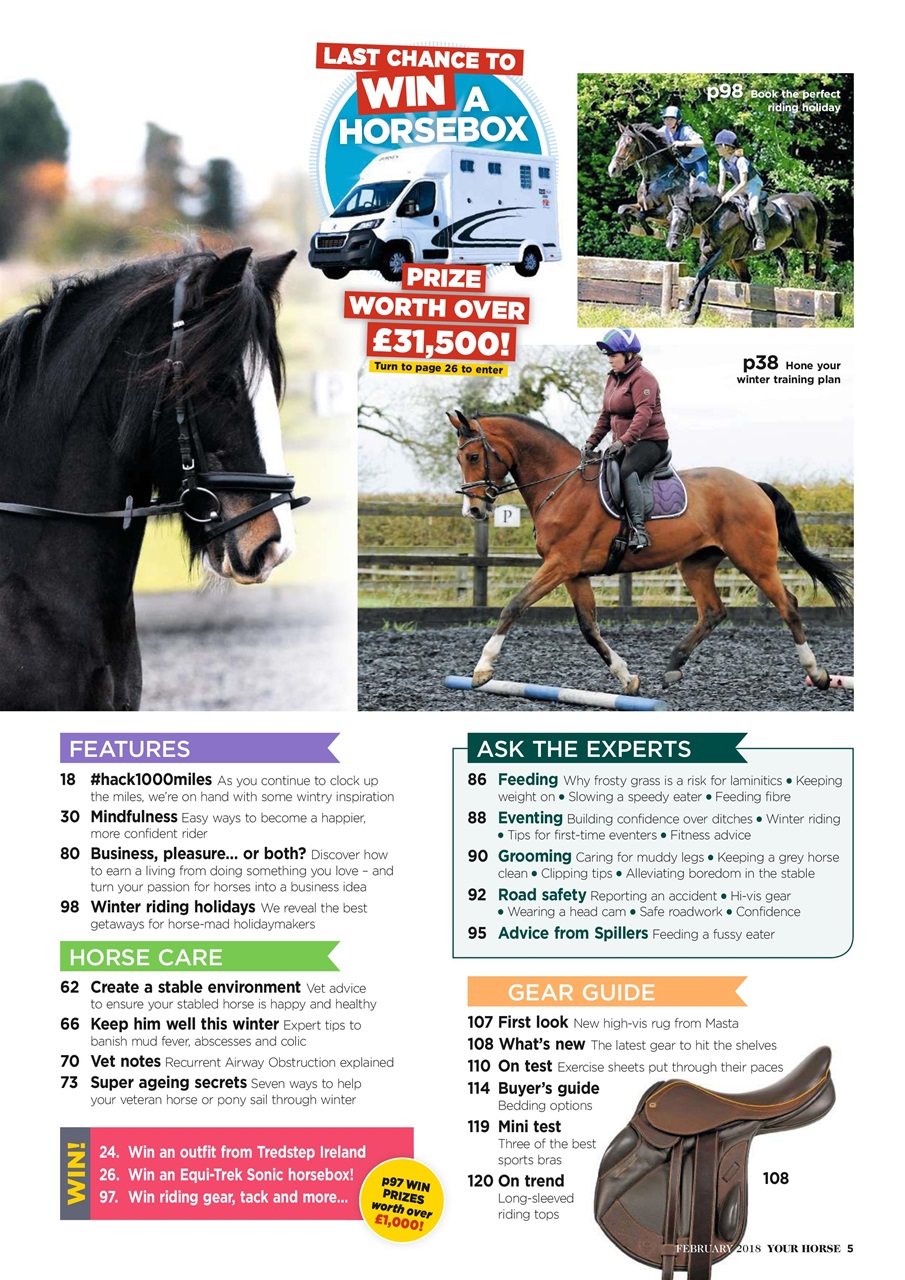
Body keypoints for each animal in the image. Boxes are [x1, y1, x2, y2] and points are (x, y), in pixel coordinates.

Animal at [450, 411, 851, 695]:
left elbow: (514, 606)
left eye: (474, 456)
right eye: (461, 458)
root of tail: (753, 485)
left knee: (788, 605)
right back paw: (673, 667)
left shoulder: (559, 565)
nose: (473, 511)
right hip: (696, 563)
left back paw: (817, 673)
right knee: (713, 611)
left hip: (755, 560)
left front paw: (482, 670)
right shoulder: (574, 572)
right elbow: (589, 628)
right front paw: (627, 679)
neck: (561, 486)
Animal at [666, 183, 829, 324]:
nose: (670, 245)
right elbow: (702, 282)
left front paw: (685, 303)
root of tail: (804, 197)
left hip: (803, 239)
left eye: (683, 219)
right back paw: (793, 280)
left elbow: (700, 274)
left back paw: (818, 275)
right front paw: (692, 316)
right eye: (669, 218)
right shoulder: (706, 256)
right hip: (786, 241)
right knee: (786, 258)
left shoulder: (723, 253)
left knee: (819, 247)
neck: (716, 218)